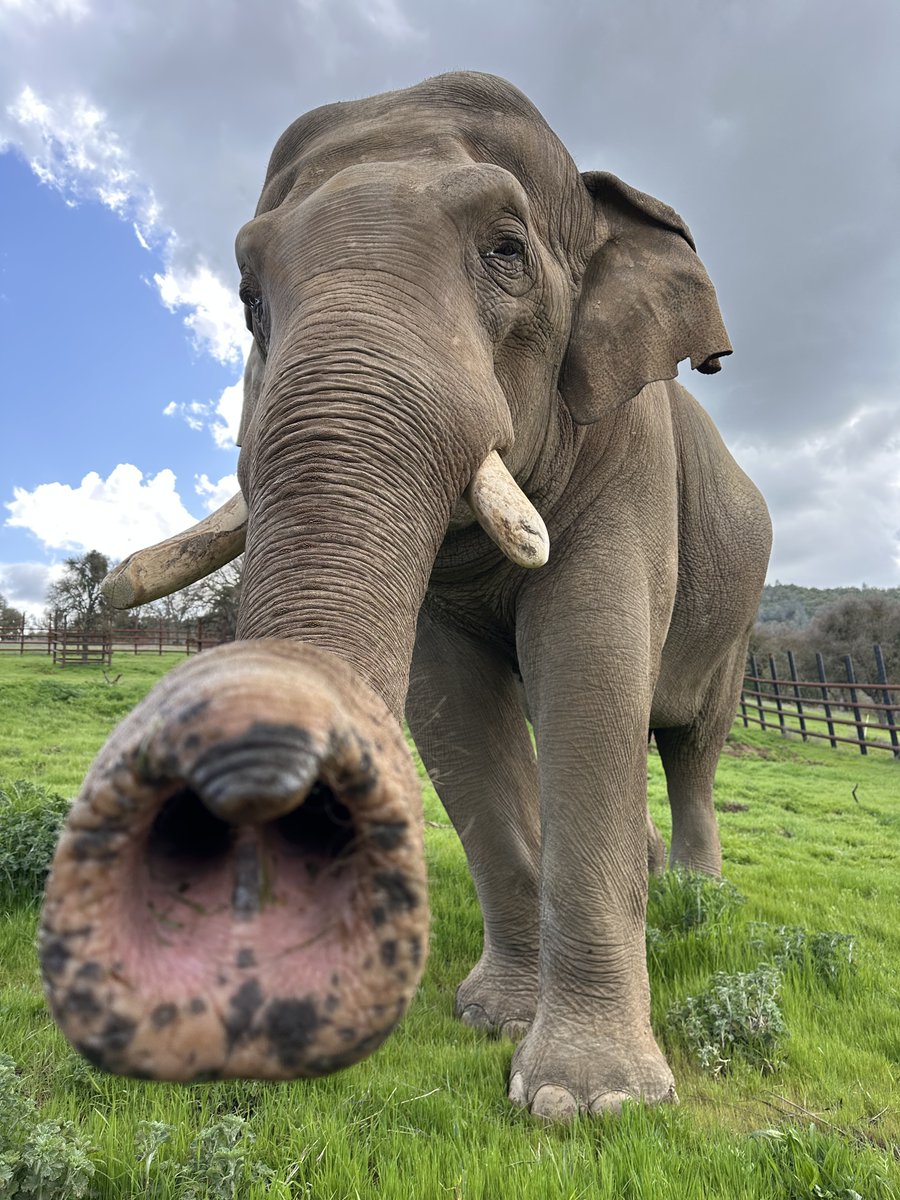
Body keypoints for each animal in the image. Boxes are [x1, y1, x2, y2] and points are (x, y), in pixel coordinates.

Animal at [39, 71, 771, 1120]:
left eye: (507, 251)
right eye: (248, 299)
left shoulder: (630, 454)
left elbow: (589, 664)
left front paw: (587, 1103)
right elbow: (454, 707)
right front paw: (496, 1018)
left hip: (740, 614)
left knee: (691, 745)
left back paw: (697, 902)